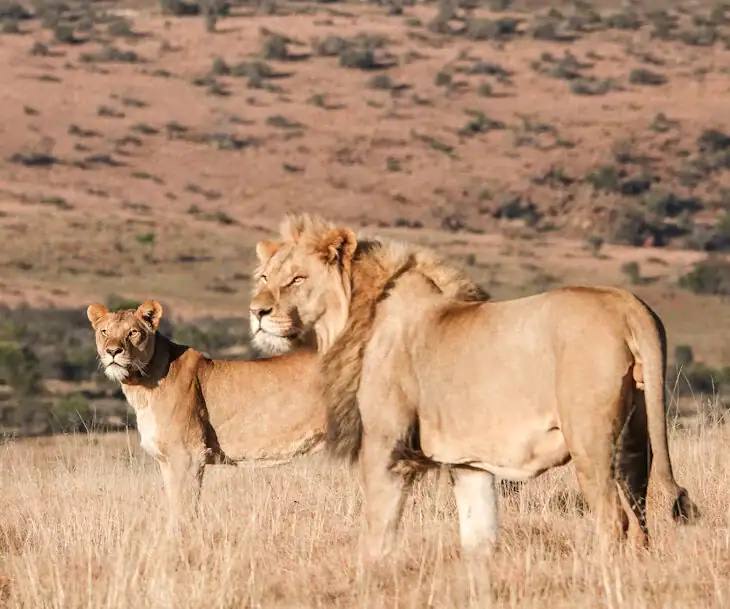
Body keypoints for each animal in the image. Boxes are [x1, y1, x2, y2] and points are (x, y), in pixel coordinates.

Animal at [86, 300, 325, 531]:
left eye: (133, 332)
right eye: (105, 331)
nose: (112, 351)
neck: (141, 387)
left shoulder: (189, 455)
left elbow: (184, 508)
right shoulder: (167, 459)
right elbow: (173, 503)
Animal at [249, 212, 699, 562]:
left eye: (297, 279)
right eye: (266, 277)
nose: (257, 312)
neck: (355, 316)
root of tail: (628, 303)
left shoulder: (386, 446)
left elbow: (378, 531)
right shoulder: (469, 464)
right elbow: (477, 533)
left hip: (589, 438)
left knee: (613, 518)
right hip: (635, 435)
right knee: (639, 517)